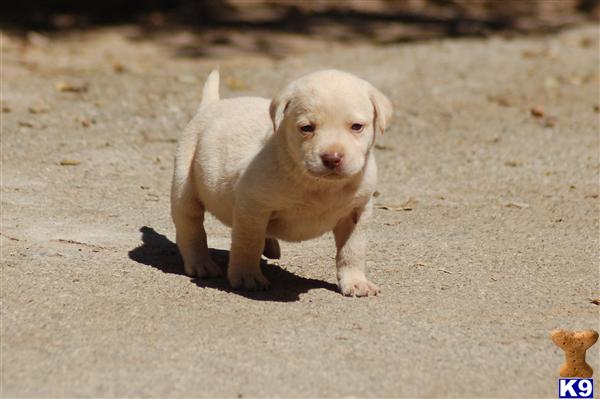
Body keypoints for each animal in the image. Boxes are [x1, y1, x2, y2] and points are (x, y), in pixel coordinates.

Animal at [171, 69, 392, 296]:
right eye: (306, 128)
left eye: (357, 127)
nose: (332, 158)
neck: (321, 185)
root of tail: (211, 105)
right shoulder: (252, 206)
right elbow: (248, 243)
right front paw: (246, 276)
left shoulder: (358, 210)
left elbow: (353, 248)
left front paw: (356, 281)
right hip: (184, 183)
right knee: (190, 225)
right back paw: (201, 263)